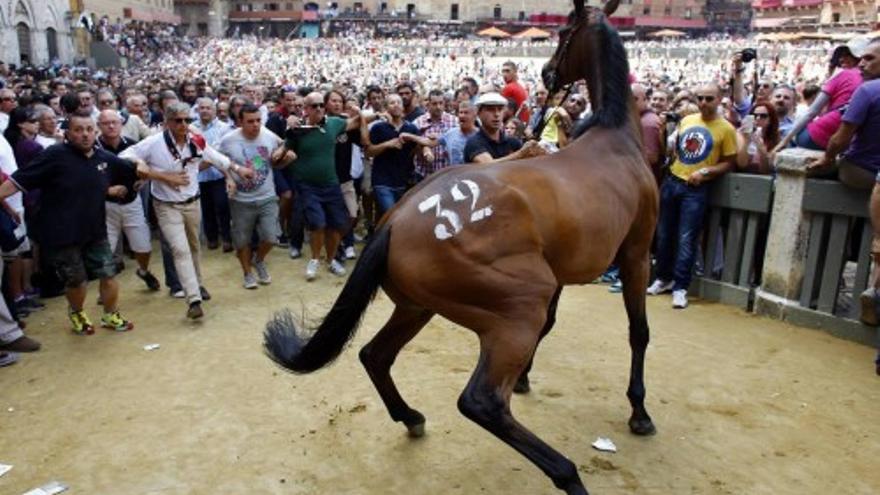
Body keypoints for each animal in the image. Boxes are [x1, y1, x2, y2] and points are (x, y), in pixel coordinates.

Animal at [264, 1, 656, 494]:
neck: (614, 137)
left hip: (418, 305)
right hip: (515, 308)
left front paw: (527, 377)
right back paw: (566, 473)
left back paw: (410, 416)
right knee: (481, 401)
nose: (546, 72)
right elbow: (638, 332)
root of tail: (398, 219)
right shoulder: (636, 254)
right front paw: (639, 411)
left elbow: (551, 327)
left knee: (375, 354)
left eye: (563, 31)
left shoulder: (564, 271)